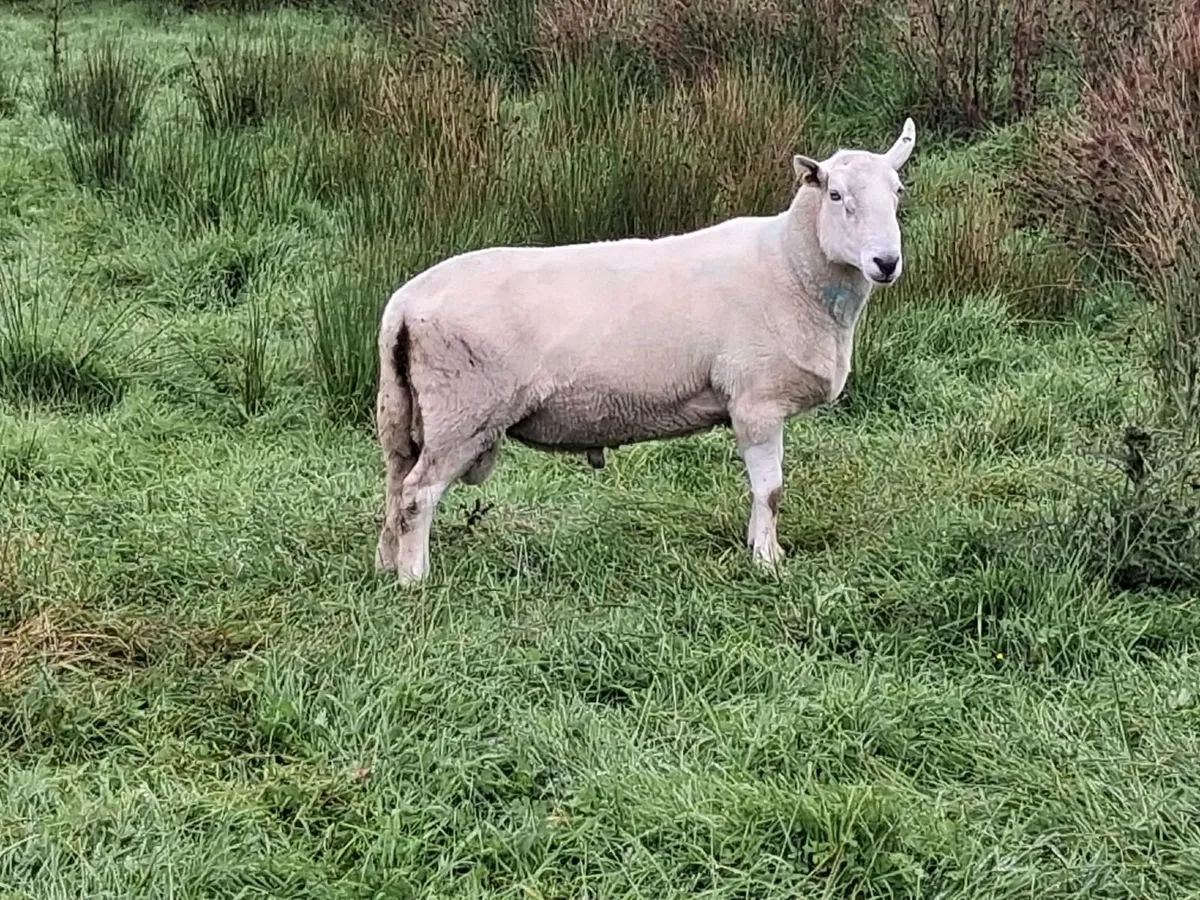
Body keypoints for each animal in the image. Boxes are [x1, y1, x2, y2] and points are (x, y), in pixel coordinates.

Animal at [374, 118, 917, 583]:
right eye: (835, 194)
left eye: (897, 192)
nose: (886, 262)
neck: (790, 267)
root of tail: (404, 305)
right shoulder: (756, 402)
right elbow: (771, 490)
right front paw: (768, 560)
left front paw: (756, 547)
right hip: (462, 412)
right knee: (418, 495)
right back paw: (415, 579)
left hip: (405, 411)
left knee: (396, 485)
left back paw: (386, 565)